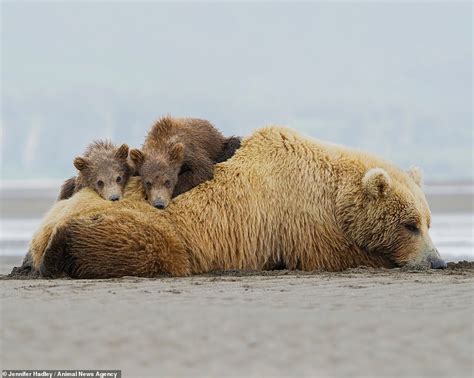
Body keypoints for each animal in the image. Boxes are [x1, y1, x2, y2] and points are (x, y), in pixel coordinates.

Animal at [28, 127, 444, 278]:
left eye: (427, 221)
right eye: (409, 224)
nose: (437, 261)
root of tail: (44, 224)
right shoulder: (302, 221)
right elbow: (338, 255)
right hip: (156, 229)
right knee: (151, 248)